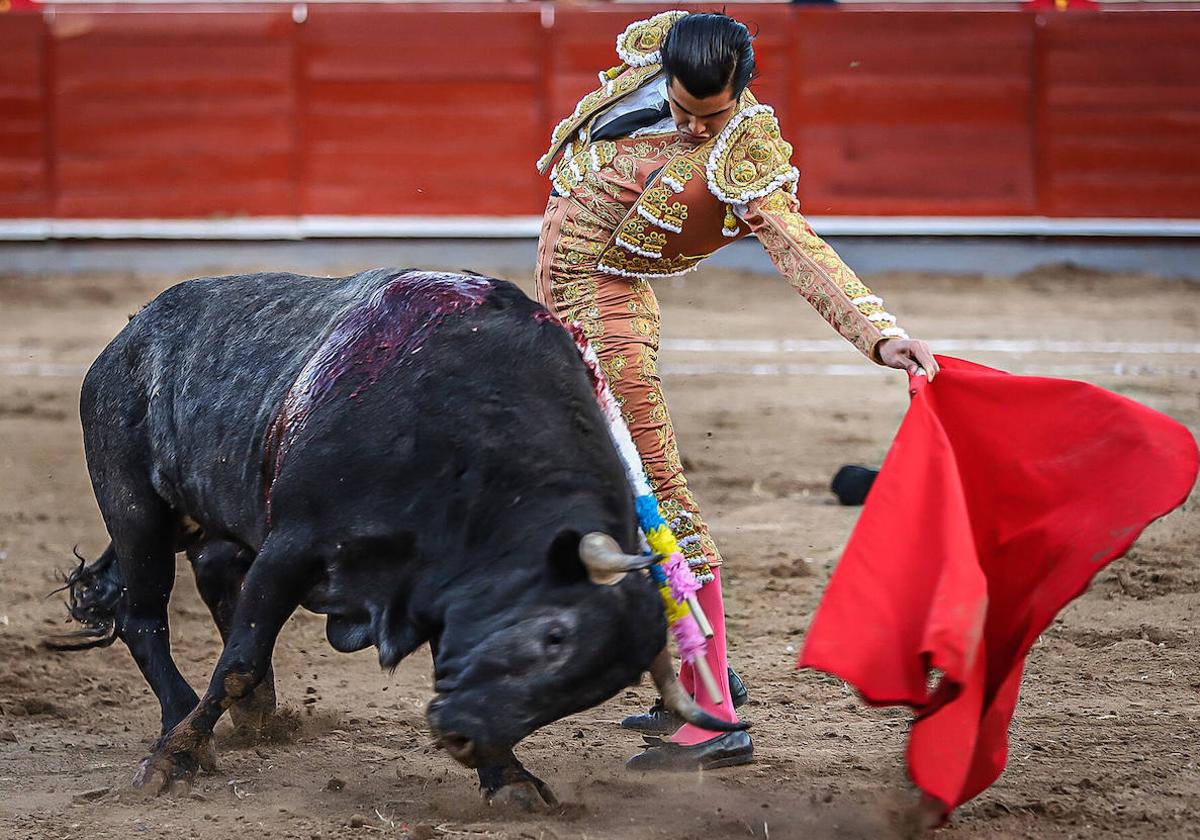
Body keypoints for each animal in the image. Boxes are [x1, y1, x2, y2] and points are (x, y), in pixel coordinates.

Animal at [56, 268, 739, 806]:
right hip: (136, 511)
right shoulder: (291, 545)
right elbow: (239, 664)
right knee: (144, 616)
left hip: (216, 518)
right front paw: (172, 763)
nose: (462, 737)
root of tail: (128, 338)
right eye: (554, 636)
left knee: (212, 575)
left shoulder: (442, 582)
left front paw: (509, 778)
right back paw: (181, 727)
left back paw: (254, 720)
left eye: (589, 690)